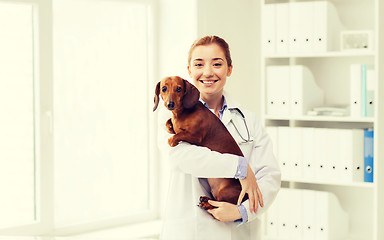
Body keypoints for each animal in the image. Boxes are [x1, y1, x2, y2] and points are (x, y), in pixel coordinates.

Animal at [152, 76, 248, 209]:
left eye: (179, 88)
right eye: (164, 88)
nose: (170, 104)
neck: (182, 113)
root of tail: (246, 196)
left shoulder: (196, 137)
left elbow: (177, 136)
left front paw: (173, 139)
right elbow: (168, 123)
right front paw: (170, 127)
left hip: (225, 192)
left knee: (219, 205)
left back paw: (206, 203)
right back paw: (205, 200)